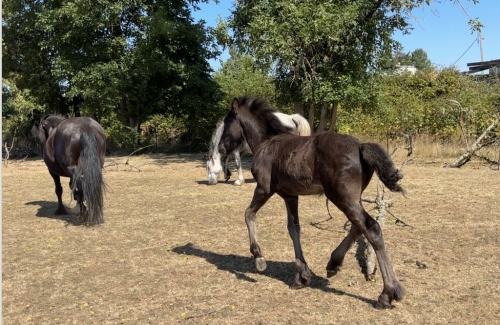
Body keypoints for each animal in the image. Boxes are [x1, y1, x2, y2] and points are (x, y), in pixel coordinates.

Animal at [219, 95, 406, 306]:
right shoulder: (290, 195)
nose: (221, 148)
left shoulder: (264, 189)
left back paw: (388, 292)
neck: (266, 143)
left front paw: (258, 257)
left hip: (341, 197)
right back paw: (333, 263)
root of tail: (360, 146)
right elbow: (294, 229)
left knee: (371, 227)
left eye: (227, 123)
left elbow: (248, 213)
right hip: (352, 197)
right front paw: (301, 276)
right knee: (358, 226)